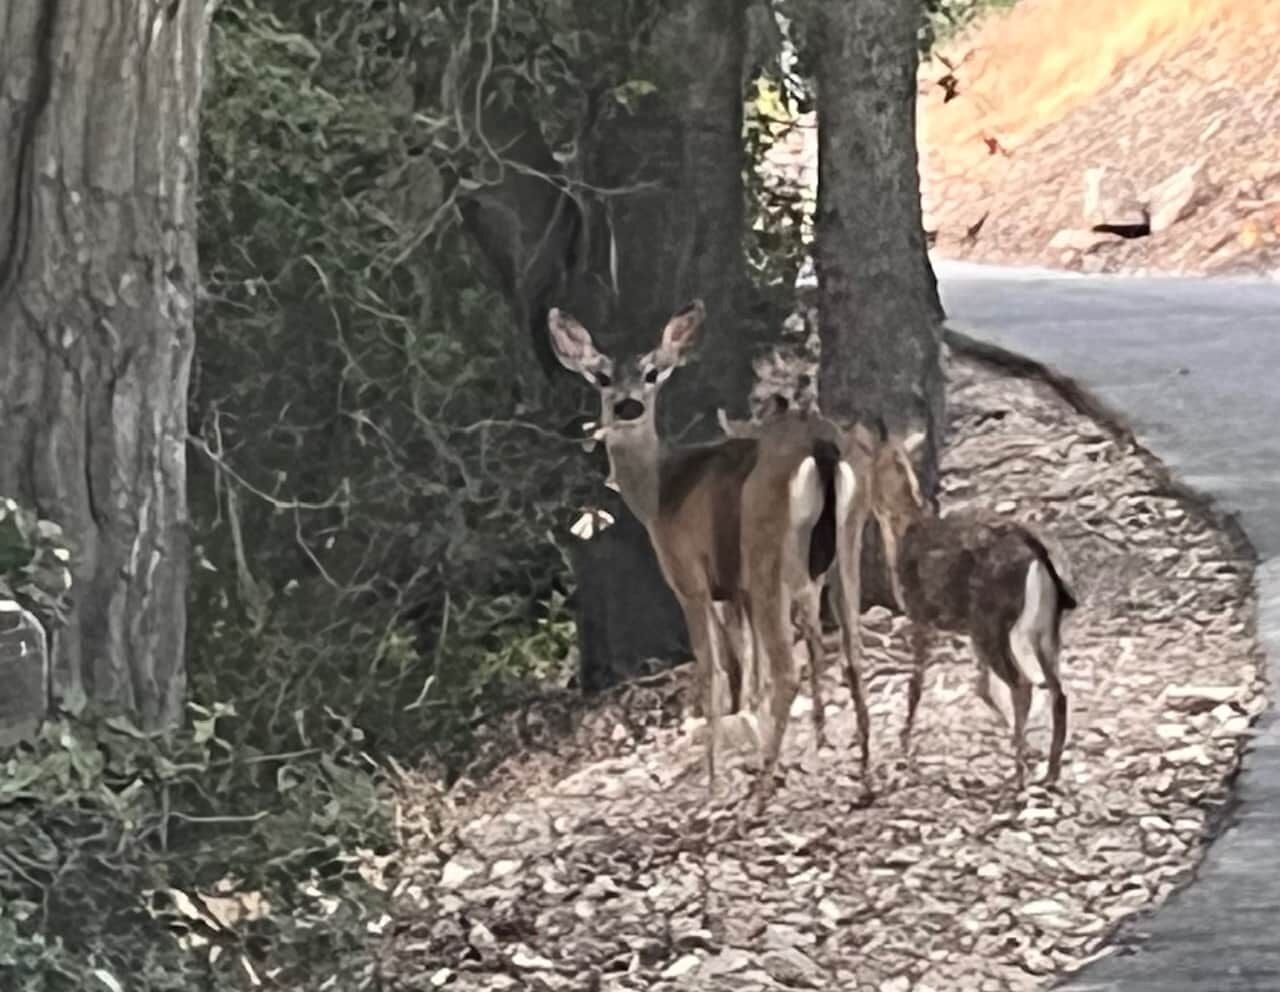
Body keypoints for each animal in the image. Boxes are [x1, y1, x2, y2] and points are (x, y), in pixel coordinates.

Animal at [547, 301, 872, 806]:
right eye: (601, 377)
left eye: (652, 373)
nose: (627, 406)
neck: (659, 493)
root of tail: (822, 452)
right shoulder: (735, 590)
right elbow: (749, 671)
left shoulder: (691, 579)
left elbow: (714, 670)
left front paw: (715, 776)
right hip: (846, 541)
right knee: (850, 647)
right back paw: (864, 771)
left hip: (767, 554)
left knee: (787, 668)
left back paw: (762, 789)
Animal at [855, 422, 1077, 789]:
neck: (903, 528)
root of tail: (1036, 551)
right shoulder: (964, 629)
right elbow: (981, 688)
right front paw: (1024, 743)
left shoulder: (921, 612)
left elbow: (916, 684)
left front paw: (904, 742)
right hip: (1043, 625)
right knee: (1057, 690)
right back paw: (1050, 768)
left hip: (992, 619)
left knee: (1023, 684)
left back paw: (1019, 773)